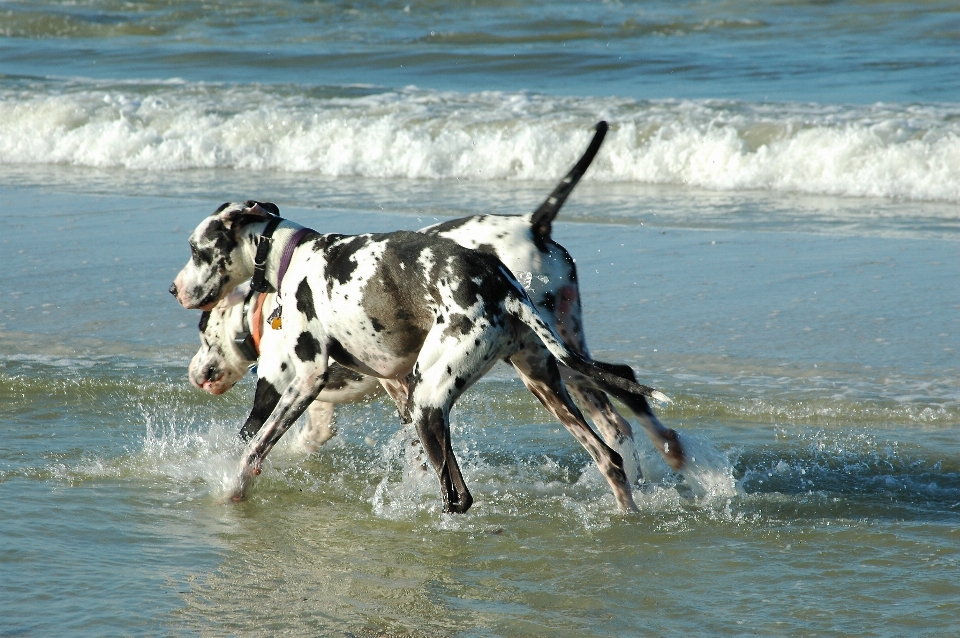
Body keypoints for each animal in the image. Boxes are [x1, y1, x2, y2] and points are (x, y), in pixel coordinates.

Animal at [188, 124, 684, 484]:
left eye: (195, 251)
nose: (177, 290)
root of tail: (534, 224)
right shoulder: (381, 393)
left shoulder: (284, 389)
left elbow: (256, 440)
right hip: (557, 360)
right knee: (620, 399)